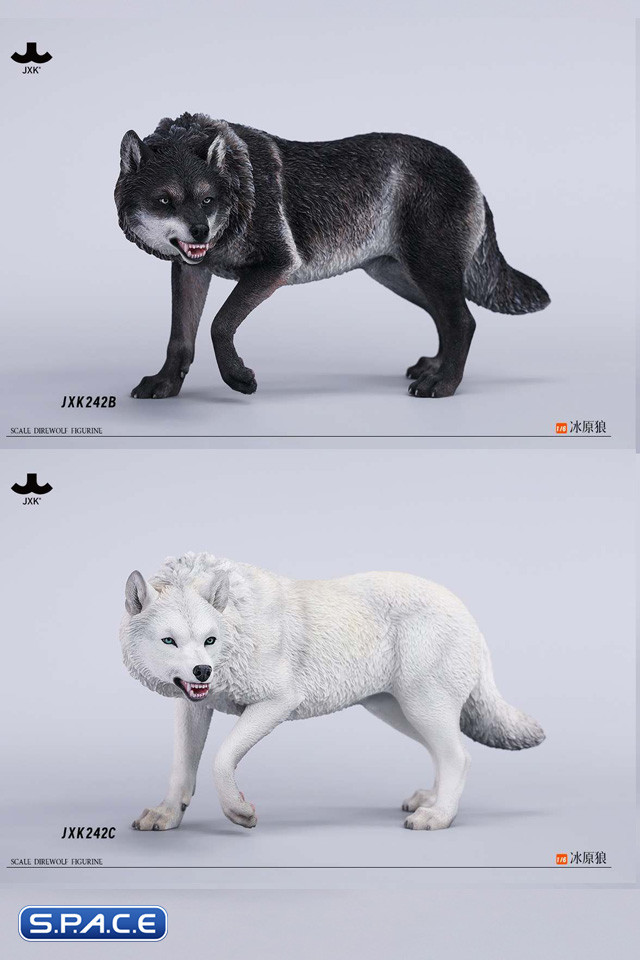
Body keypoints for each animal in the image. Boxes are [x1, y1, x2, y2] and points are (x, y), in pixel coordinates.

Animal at [115, 113, 550, 401]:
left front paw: (239, 379)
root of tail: (471, 174)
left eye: (207, 200)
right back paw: (435, 368)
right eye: (165, 200)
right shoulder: (191, 270)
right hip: (401, 278)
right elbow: (179, 338)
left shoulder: (276, 267)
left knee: (462, 320)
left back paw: (443, 385)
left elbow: (219, 325)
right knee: (449, 319)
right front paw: (166, 385)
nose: (201, 233)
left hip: (428, 272)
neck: (241, 188)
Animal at [120, 553, 544, 832]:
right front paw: (168, 815)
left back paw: (439, 816)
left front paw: (239, 812)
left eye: (209, 640)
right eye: (170, 641)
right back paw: (432, 799)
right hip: (401, 712)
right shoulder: (193, 705)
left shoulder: (277, 702)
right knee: (446, 751)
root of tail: (467, 613)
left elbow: (221, 760)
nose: (203, 671)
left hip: (421, 706)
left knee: (460, 756)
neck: (237, 623)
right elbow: (182, 768)